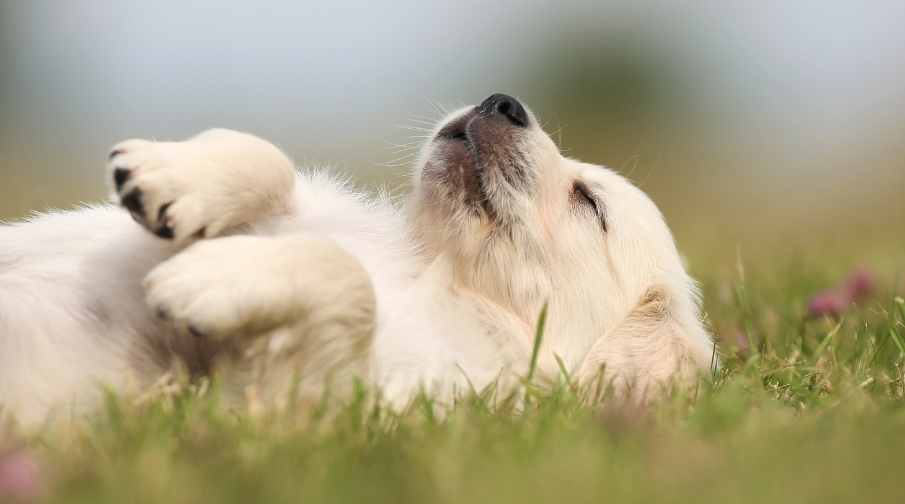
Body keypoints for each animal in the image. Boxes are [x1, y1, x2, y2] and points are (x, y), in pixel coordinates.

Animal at [0, 93, 712, 426]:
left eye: (589, 203)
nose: (501, 101)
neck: (441, 275)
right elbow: (273, 163)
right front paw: (173, 174)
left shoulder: (310, 408)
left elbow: (347, 281)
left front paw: (208, 276)